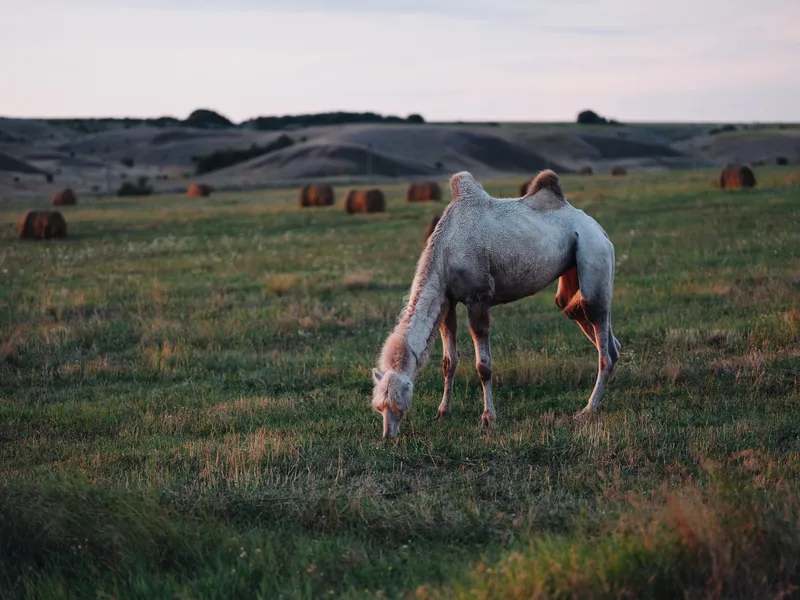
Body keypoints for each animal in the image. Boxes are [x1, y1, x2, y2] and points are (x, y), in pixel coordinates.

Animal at [371, 170, 621, 438]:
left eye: (399, 405)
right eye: (378, 406)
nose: (388, 435)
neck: (445, 253)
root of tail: (600, 230)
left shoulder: (478, 298)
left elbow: (484, 366)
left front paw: (488, 417)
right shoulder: (447, 301)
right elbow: (449, 362)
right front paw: (443, 412)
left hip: (593, 253)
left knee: (600, 332)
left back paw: (588, 408)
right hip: (572, 276)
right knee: (586, 321)